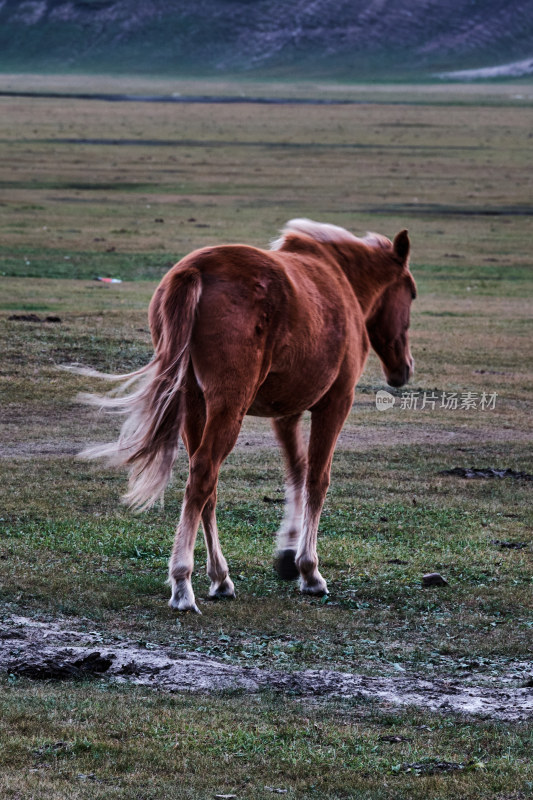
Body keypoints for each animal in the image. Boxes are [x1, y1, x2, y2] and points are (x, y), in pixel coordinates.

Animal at [78, 219, 416, 612]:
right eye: (411, 293)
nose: (404, 368)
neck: (341, 279)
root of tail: (197, 269)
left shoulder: (285, 413)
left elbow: (296, 472)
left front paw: (287, 554)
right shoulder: (335, 403)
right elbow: (317, 479)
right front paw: (309, 570)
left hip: (194, 403)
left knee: (205, 484)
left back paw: (220, 578)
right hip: (229, 405)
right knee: (203, 475)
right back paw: (183, 584)